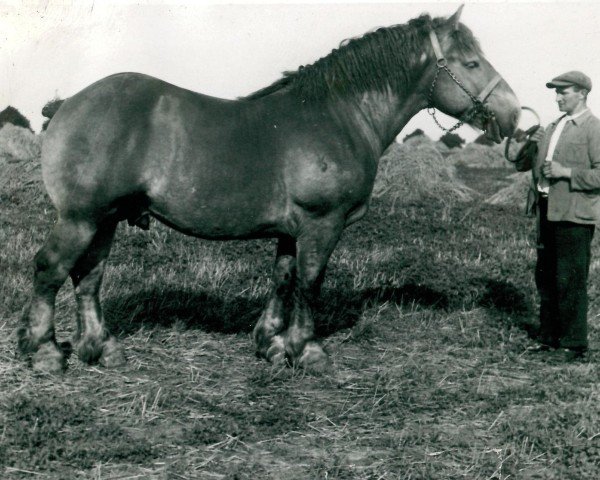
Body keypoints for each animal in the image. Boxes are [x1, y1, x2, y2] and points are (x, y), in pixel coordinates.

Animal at [17, 8, 520, 376]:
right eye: (471, 64)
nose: (513, 114)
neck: (338, 115)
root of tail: (68, 104)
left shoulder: (289, 231)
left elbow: (283, 280)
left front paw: (272, 344)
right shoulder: (322, 224)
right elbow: (311, 283)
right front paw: (308, 350)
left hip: (104, 220)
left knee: (89, 279)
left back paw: (101, 348)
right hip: (81, 219)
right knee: (50, 270)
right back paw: (45, 352)